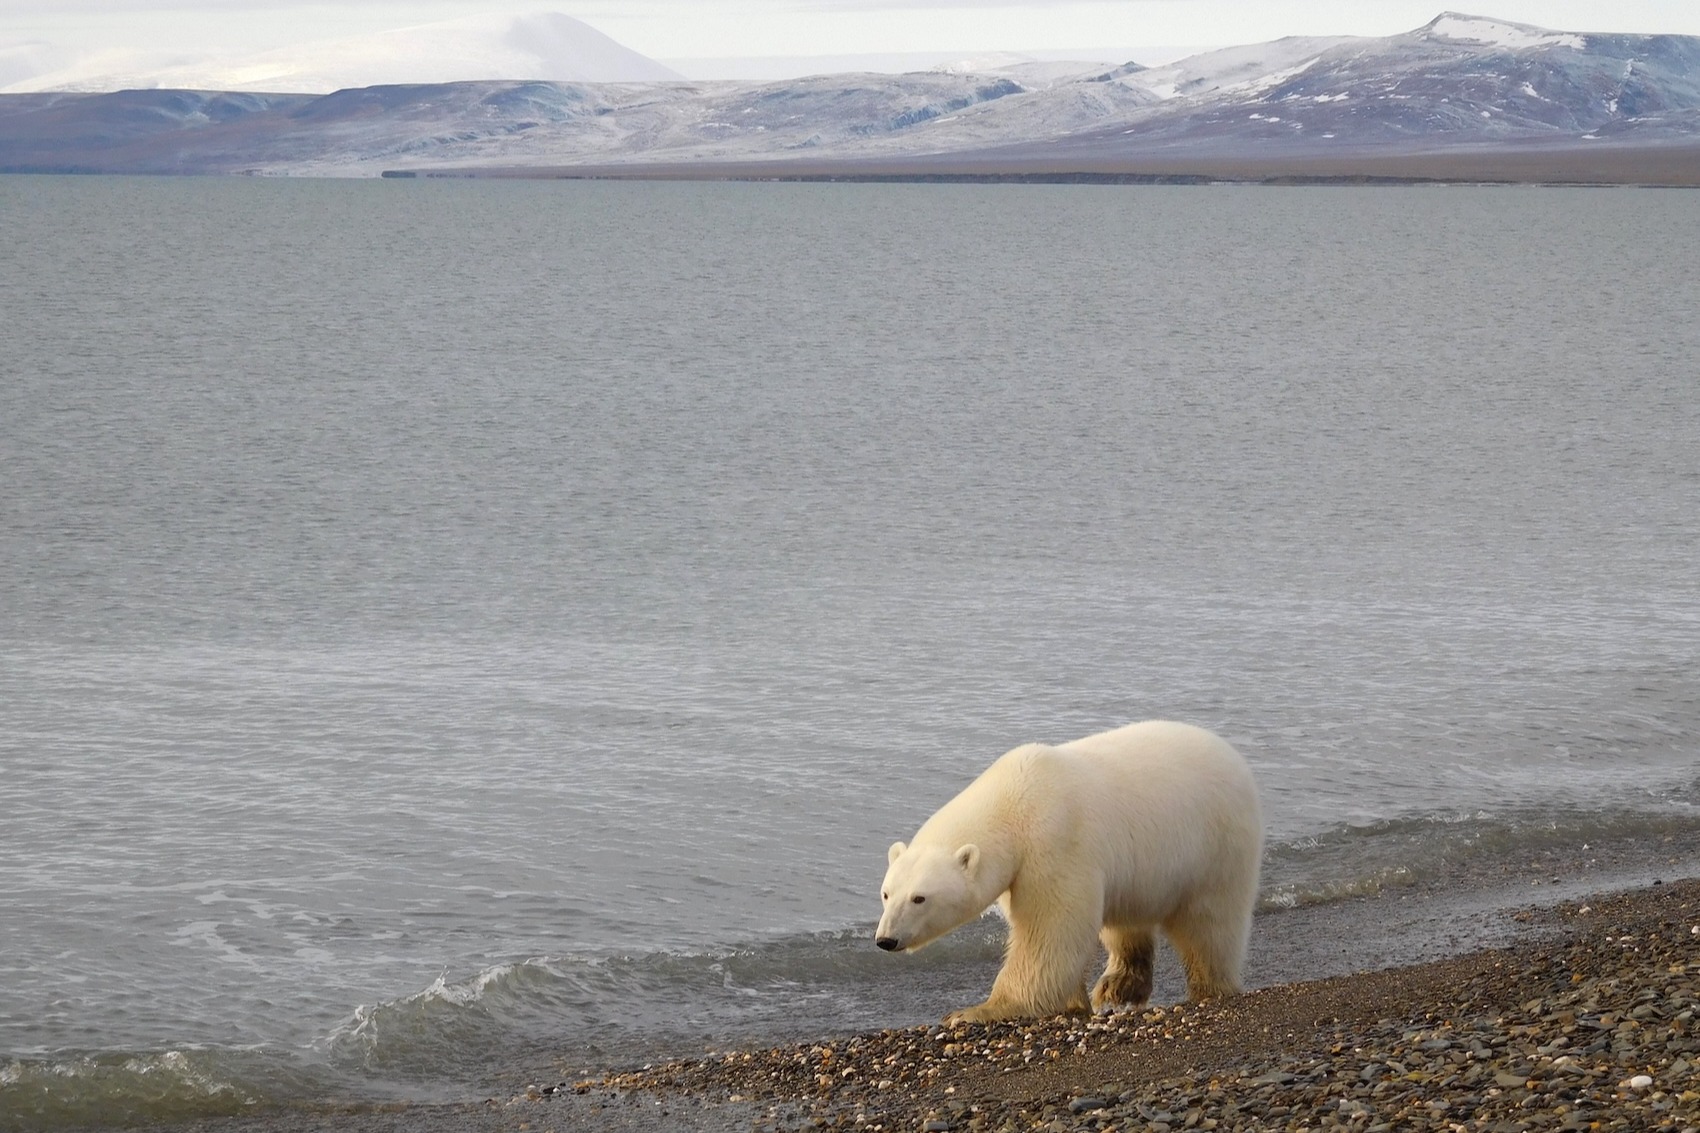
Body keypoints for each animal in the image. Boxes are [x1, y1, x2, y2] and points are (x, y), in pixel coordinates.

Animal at [875, 720, 1263, 1024]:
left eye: (920, 898)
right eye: (886, 893)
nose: (885, 940)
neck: (1013, 801)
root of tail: (1235, 758)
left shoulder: (1055, 841)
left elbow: (1050, 928)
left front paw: (973, 1011)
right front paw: (1073, 1003)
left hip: (1218, 844)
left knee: (1210, 924)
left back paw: (1209, 987)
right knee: (1126, 920)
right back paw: (1119, 986)